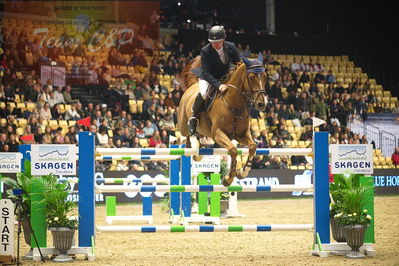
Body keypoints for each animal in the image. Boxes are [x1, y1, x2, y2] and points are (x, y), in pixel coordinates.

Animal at [179, 53, 268, 187]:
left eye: (265, 76)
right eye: (251, 77)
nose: (262, 104)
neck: (233, 104)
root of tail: (191, 87)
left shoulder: (241, 134)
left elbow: (252, 146)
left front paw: (243, 172)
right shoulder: (217, 134)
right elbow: (233, 150)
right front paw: (228, 179)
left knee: (199, 136)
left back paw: (198, 152)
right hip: (183, 125)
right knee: (188, 134)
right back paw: (192, 147)